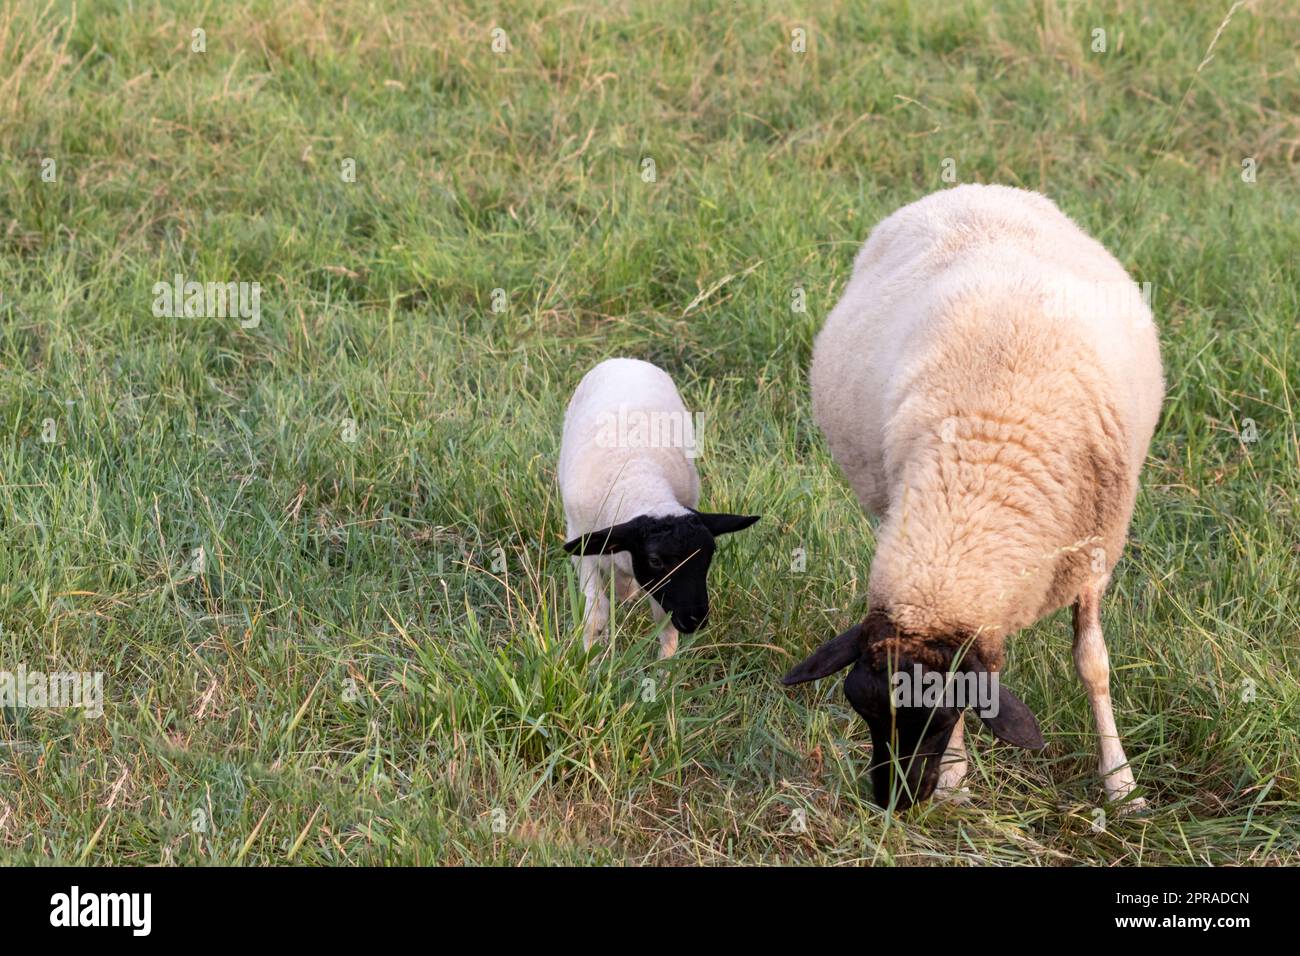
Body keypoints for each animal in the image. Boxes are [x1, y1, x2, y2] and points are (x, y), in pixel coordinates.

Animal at [559, 358, 759, 658]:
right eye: (654, 560)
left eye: (710, 553)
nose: (695, 619)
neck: (638, 481)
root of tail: (627, 361)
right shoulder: (583, 550)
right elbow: (596, 616)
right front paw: (592, 660)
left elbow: (664, 622)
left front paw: (665, 667)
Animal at [785, 183, 1164, 811]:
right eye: (861, 711)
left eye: (939, 718)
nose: (893, 803)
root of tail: (972, 187)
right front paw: (957, 778)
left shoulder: (1093, 549)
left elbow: (1093, 664)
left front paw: (1122, 785)